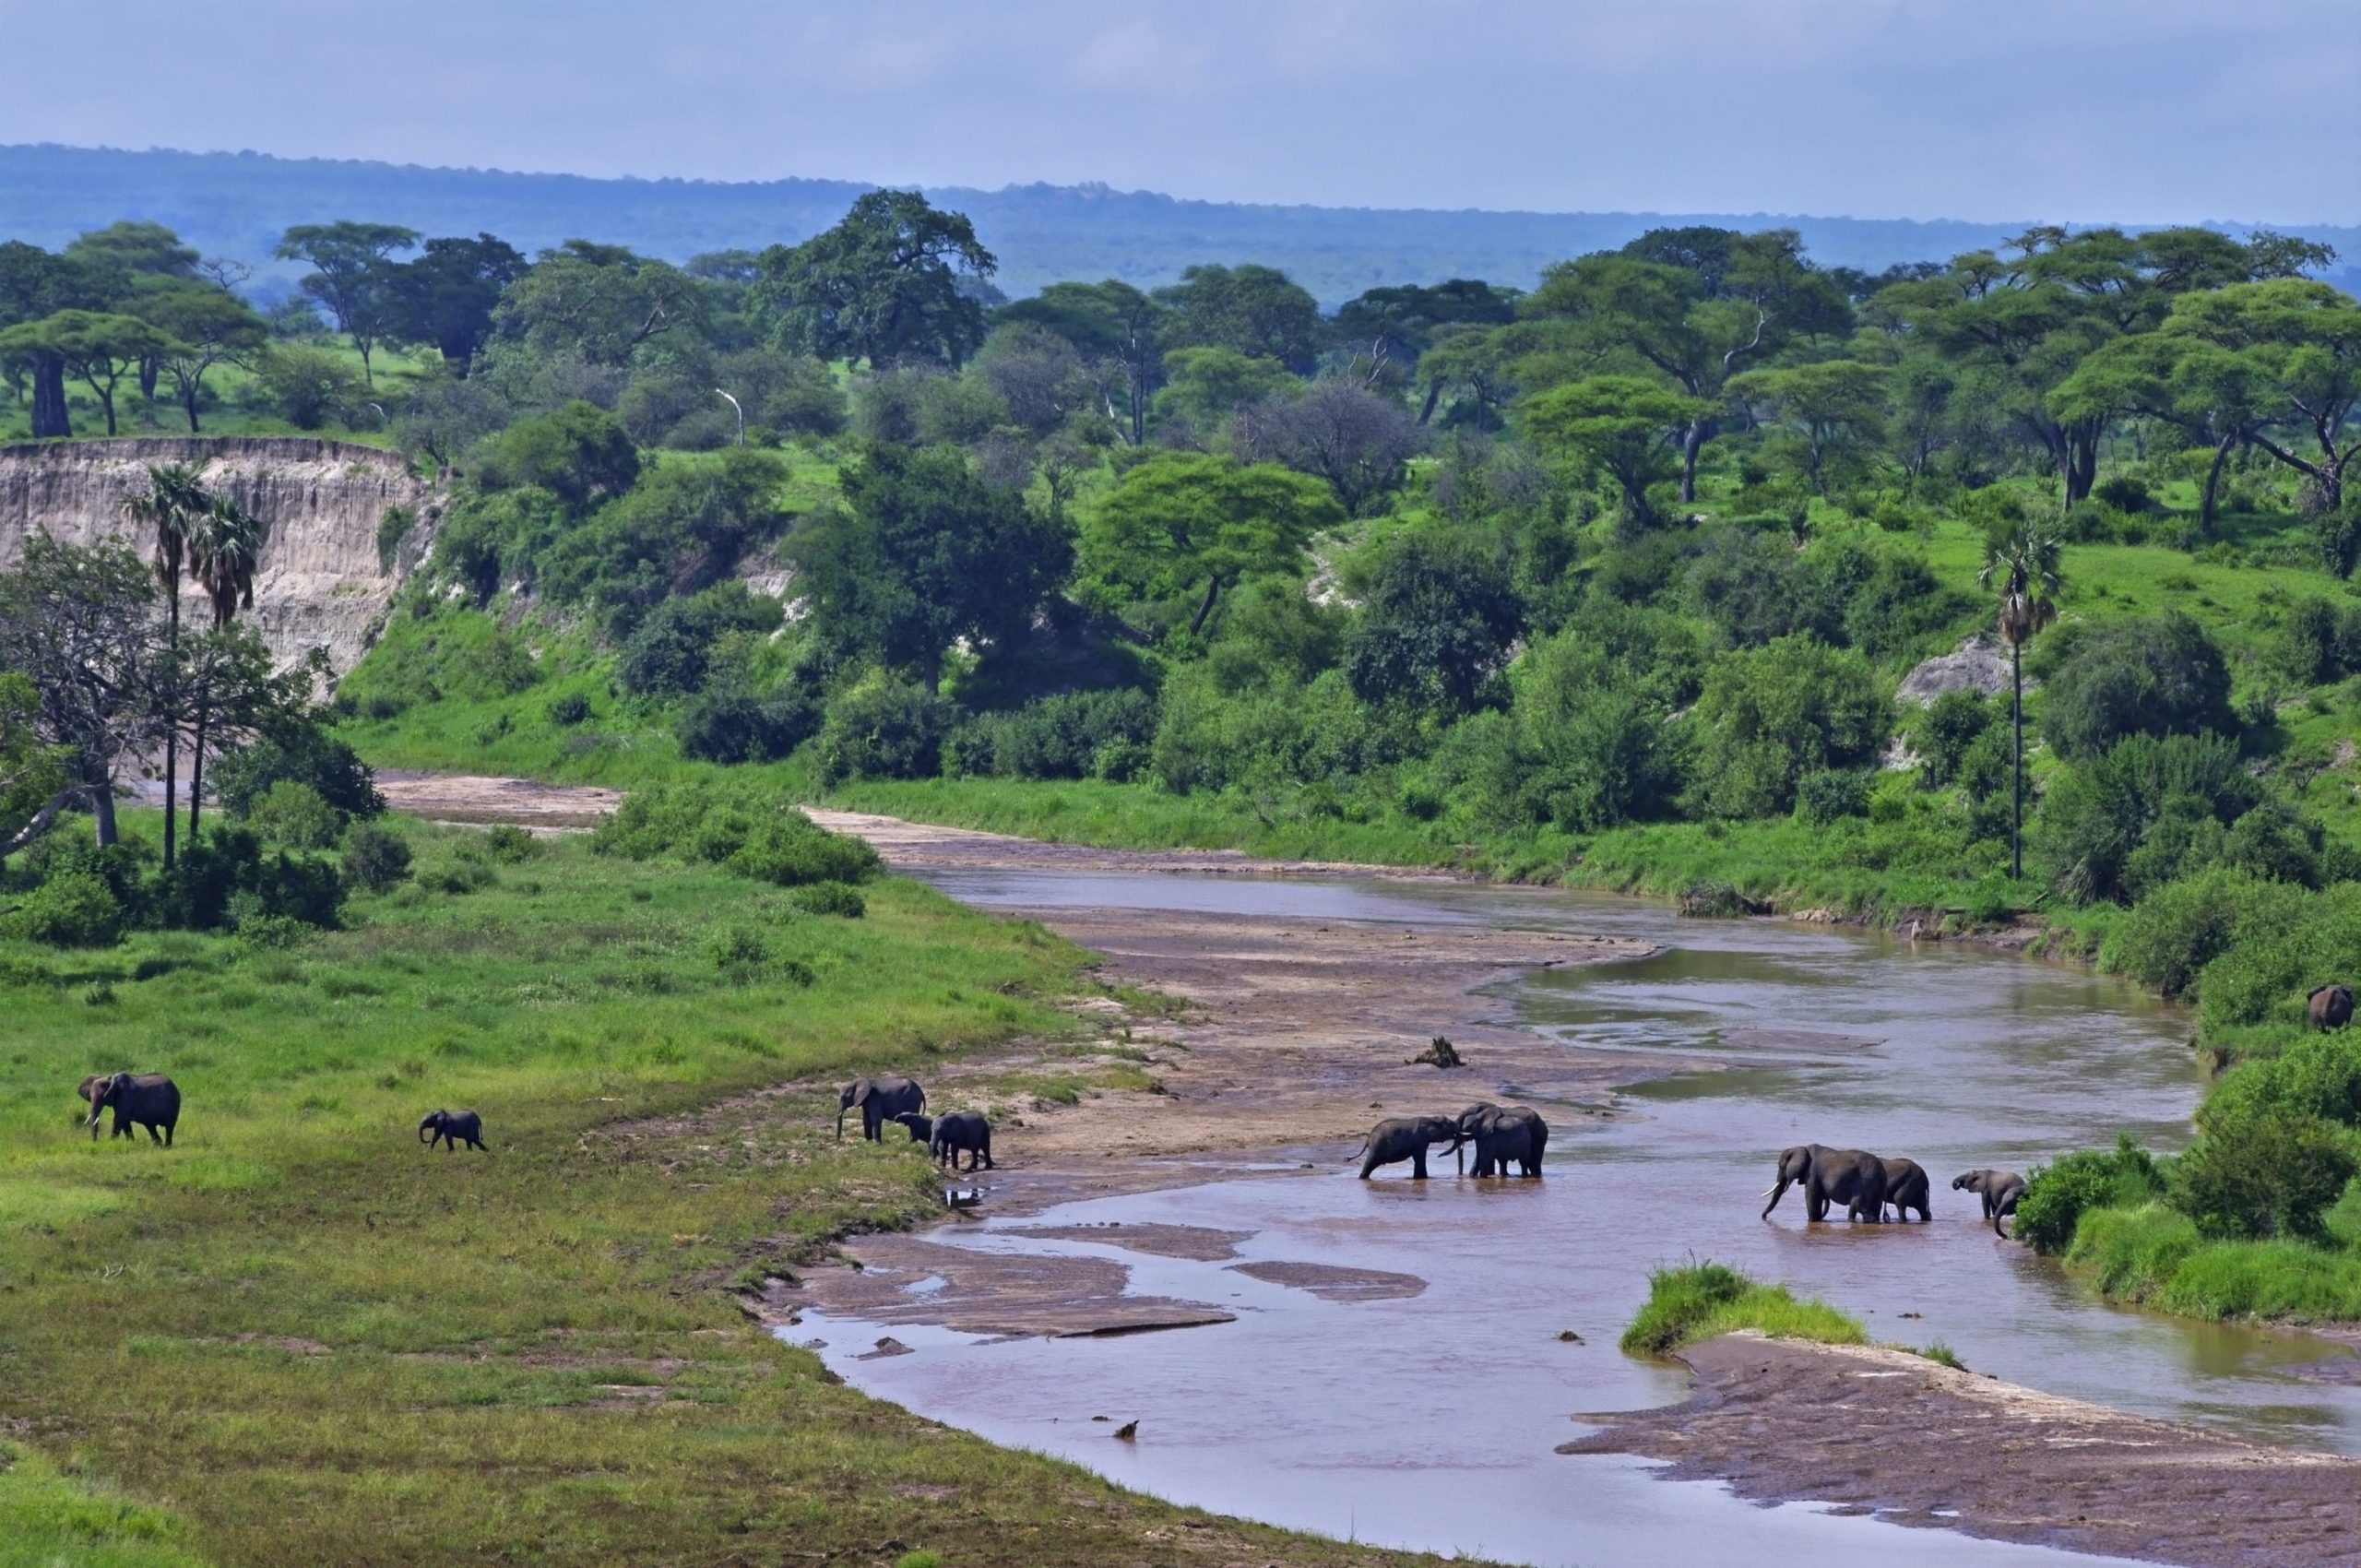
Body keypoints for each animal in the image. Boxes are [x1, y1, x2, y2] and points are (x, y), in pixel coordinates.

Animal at [1765, 1147, 1889, 1218]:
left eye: (1780, 1166)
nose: (1764, 1216)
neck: (1802, 1148)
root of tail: (1882, 1170)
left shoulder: (1812, 1173)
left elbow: (1812, 1198)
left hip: (1867, 1182)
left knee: (1857, 1205)